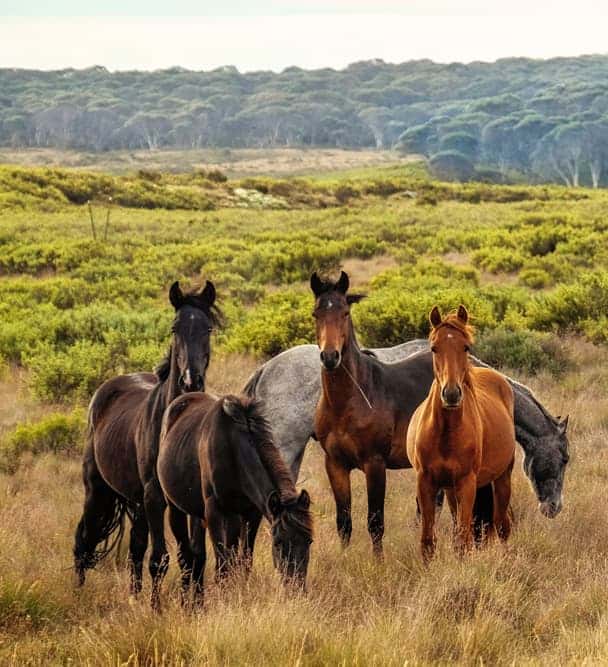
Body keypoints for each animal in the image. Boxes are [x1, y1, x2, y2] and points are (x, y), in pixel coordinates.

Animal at [406, 306, 516, 560]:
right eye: (434, 347)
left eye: (466, 346)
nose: (452, 394)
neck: (446, 433)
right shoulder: (426, 482)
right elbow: (428, 541)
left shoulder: (467, 483)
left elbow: (463, 540)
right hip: (450, 489)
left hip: (502, 478)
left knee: (502, 525)